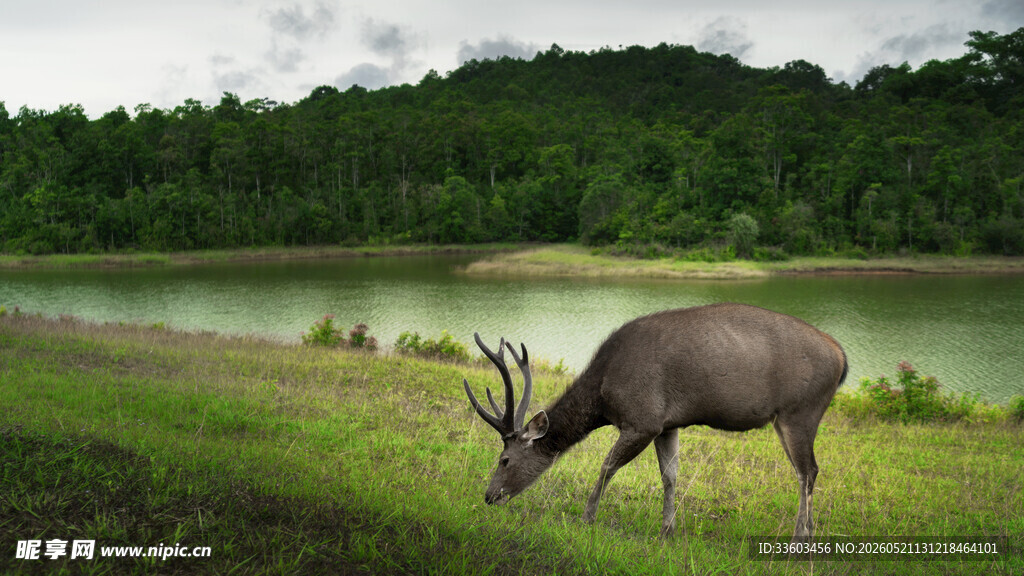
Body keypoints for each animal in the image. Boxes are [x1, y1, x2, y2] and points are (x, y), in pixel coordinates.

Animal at [462, 302, 848, 543]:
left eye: (504, 459)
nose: (489, 496)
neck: (603, 394)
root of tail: (842, 358)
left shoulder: (643, 418)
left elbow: (606, 466)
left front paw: (587, 517)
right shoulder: (668, 424)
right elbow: (670, 476)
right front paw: (667, 531)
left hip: (801, 410)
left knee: (807, 471)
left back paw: (800, 538)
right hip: (791, 416)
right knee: (810, 471)